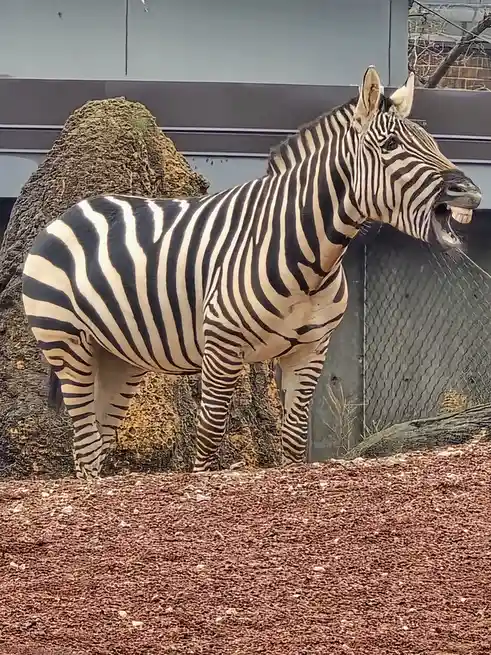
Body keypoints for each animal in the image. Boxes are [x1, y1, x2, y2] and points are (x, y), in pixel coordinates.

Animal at [22, 66, 482, 480]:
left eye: (433, 142)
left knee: (94, 446)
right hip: (66, 342)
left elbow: (294, 439)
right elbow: (210, 435)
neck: (312, 259)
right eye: (388, 145)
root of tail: (71, 209)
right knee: (85, 444)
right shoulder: (221, 342)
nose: (471, 193)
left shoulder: (311, 349)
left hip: (116, 356)